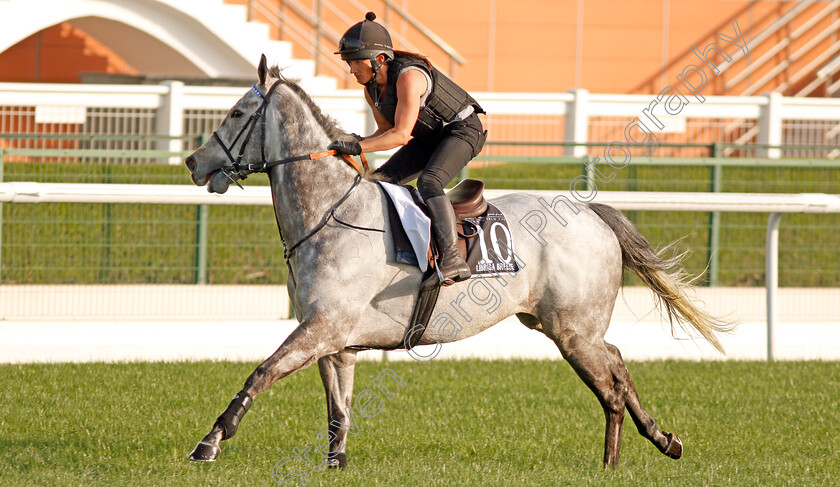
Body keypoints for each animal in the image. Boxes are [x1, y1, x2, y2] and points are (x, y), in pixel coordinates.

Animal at [185, 56, 736, 468]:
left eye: (237, 113)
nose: (193, 162)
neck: (328, 214)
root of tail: (591, 212)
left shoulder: (322, 328)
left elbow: (261, 373)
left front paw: (209, 442)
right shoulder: (335, 341)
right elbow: (337, 410)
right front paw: (335, 463)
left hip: (573, 331)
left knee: (613, 381)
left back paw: (622, 457)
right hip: (558, 326)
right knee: (618, 365)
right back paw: (654, 443)